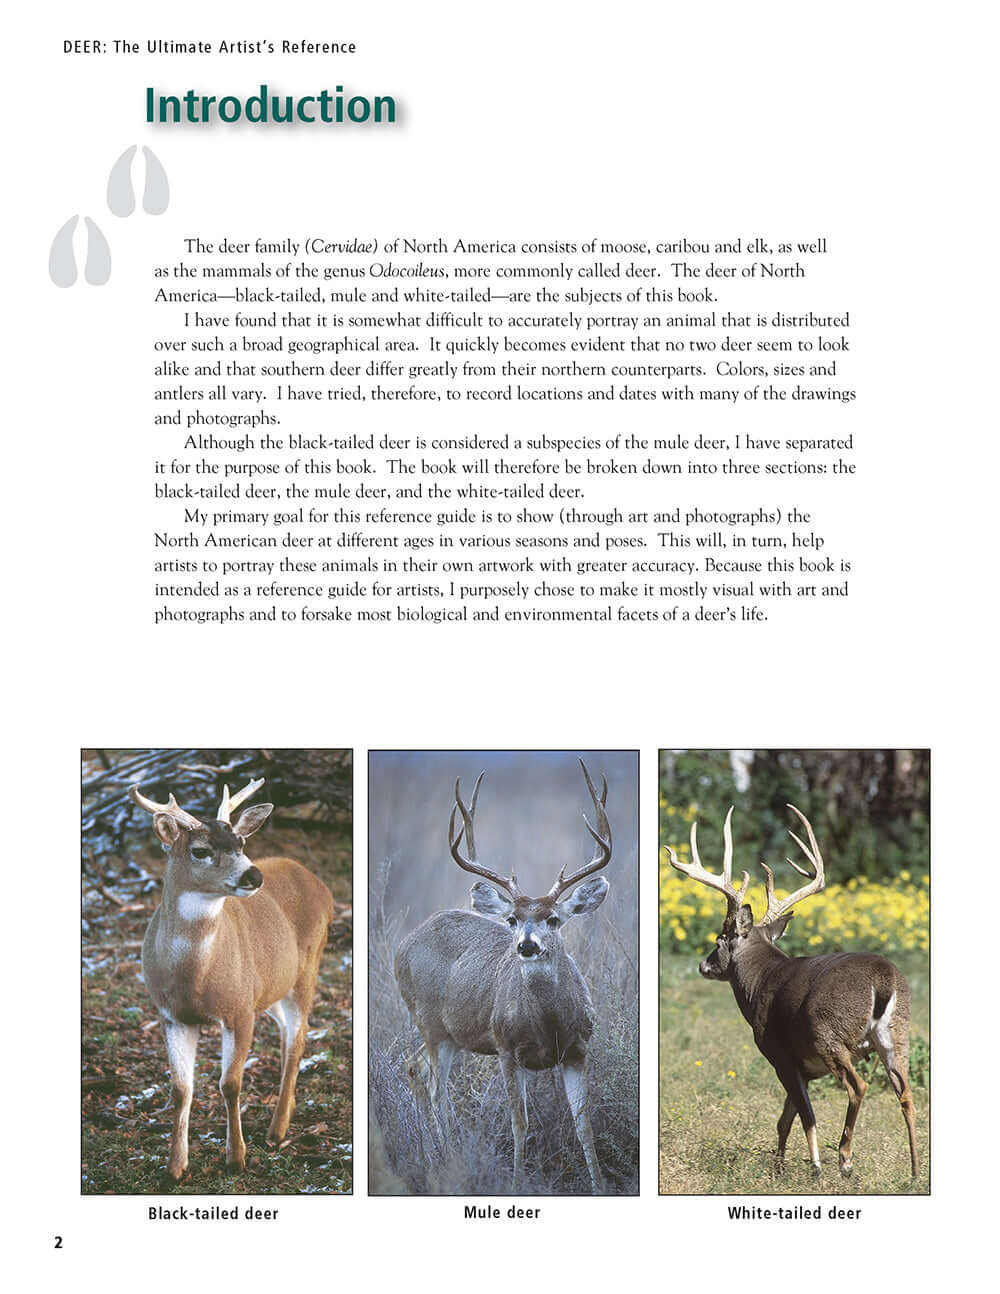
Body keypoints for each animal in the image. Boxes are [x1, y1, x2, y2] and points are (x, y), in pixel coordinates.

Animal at [131, 778, 334, 1182]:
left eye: (241, 843)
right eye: (200, 850)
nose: (253, 876)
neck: (195, 978)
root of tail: (320, 883)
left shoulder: (239, 1011)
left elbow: (230, 1084)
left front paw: (236, 1158)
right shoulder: (171, 1015)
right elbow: (180, 1089)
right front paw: (175, 1168)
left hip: (307, 968)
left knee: (299, 1037)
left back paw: (277, 1131)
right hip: (270, 988)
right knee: (287, 1031)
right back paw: (283, 1116)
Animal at [393, 759, 613, 1194]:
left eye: (553, 919)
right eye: (512, 919)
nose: (526, 945)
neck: (549, 1024)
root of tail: (403, 946)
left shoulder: (579, 1048)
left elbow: (584, 1125)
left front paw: (599, 1185)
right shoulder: (507, 1047)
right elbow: (519, 1122)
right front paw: (515, 1182)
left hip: (450, 1033)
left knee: (413, 1067)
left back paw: (431, 1156)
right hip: (429, 1022)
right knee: (435, 1088)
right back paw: (447, 1160)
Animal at [665, 804, 919, 1179]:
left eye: (719, 939)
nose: (703, 965)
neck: (759, 982)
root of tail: (884, 977)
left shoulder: (779, 1053)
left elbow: (805, 1115)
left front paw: (812, 1165)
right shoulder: (805, 1067)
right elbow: (785, 1118)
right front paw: (779, 1166)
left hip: (829, 1034)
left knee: (858, 1086)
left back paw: (844, 1159)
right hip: (897, 1032)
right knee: (906, 1093)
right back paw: (915, 1171)